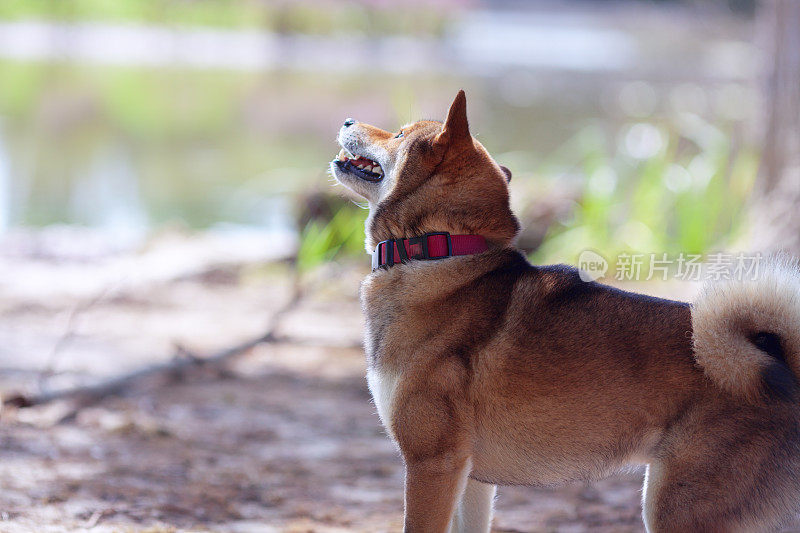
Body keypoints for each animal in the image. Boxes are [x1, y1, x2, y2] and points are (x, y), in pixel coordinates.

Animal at [328, 92, 800, 532]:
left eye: (399, 134)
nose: (347, 119)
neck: (440, 252)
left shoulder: (433, 463)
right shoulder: (472, 478)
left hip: (679, 510)